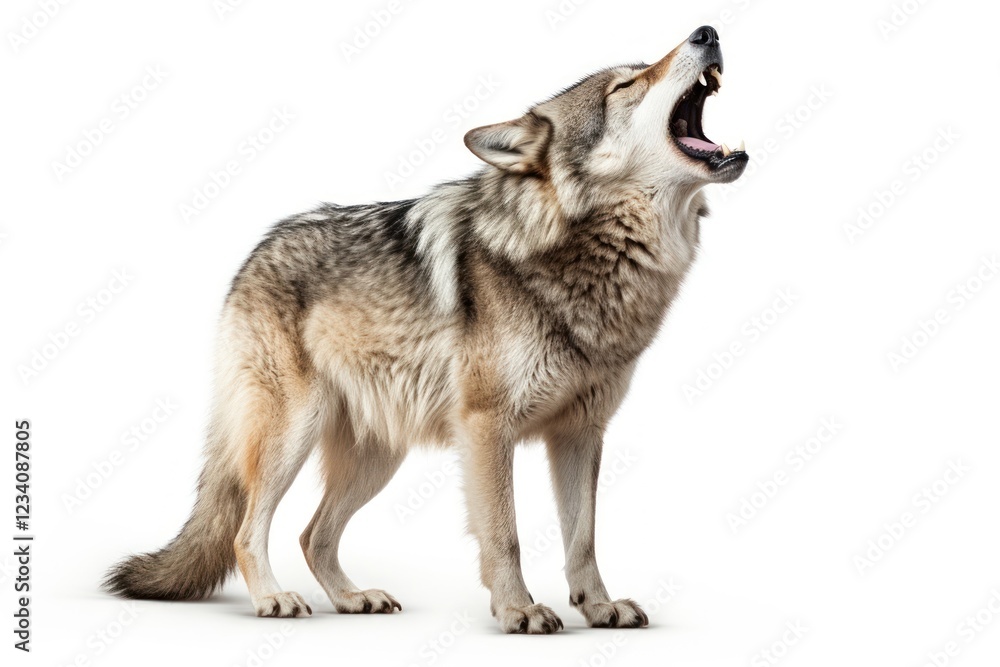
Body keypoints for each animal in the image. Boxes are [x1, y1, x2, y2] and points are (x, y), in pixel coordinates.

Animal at [105, 25, 747, 634]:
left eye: (640, 71)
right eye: (626, 85)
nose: (708, 30)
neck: (589, 258)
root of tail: (256, 251)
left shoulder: (580, 433)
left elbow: (583, 538)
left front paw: (599, 607)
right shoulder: (487, 427)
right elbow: (505, 534)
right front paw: (518, 611)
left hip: (377, 458)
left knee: (313, 535)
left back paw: (353, 599)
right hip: (293, 431)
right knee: (247, 529)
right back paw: (274, 599)